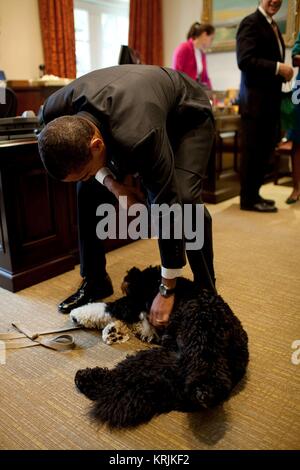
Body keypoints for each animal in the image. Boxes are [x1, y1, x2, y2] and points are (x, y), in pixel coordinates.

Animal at [71, 266, 248, 428]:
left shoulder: (132, 304)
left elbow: (106, 307)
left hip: (194, 341)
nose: (129, 274)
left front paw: (77, 314)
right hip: (162, 365)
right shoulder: (148, 324)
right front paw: (115, 332)